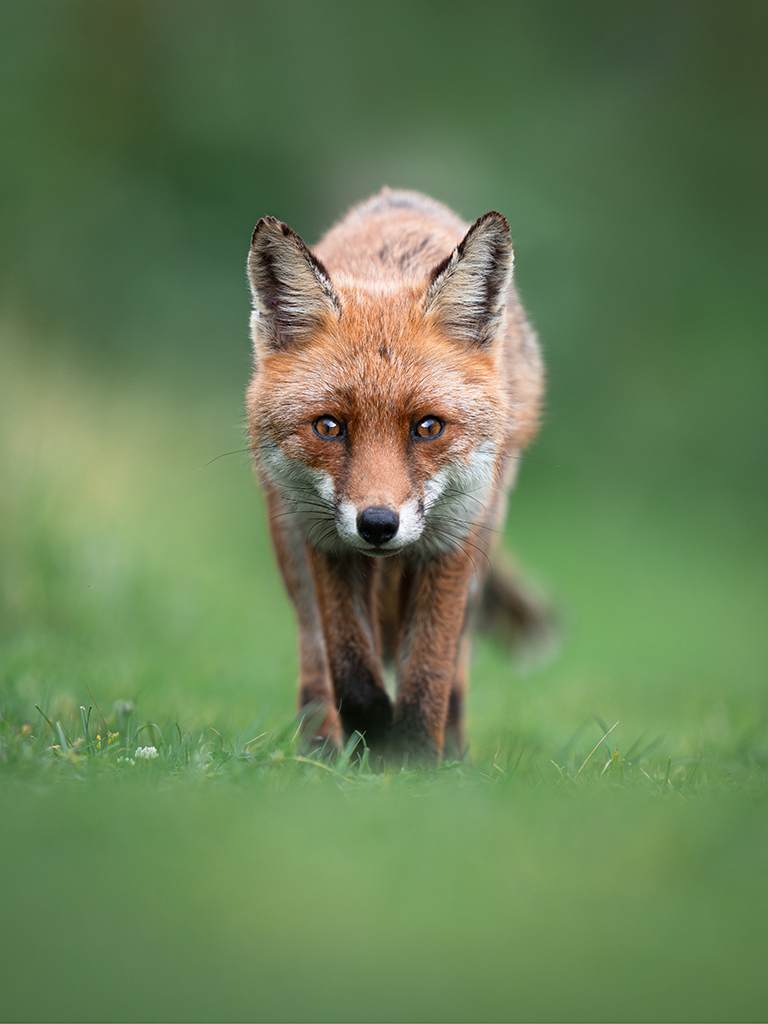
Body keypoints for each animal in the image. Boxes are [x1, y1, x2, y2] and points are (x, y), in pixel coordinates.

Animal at [245, 188, 545, 764]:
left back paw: (451, 752)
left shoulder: (454, 539)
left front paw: (415, 759)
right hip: (288, 540)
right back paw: (319, 753)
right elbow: (350, 669)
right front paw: (375, 740)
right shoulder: (324, 541)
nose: (378, 525)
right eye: (329, 426)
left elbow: (429, 669)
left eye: (427, 427)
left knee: (457, 667)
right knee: (314, 658)